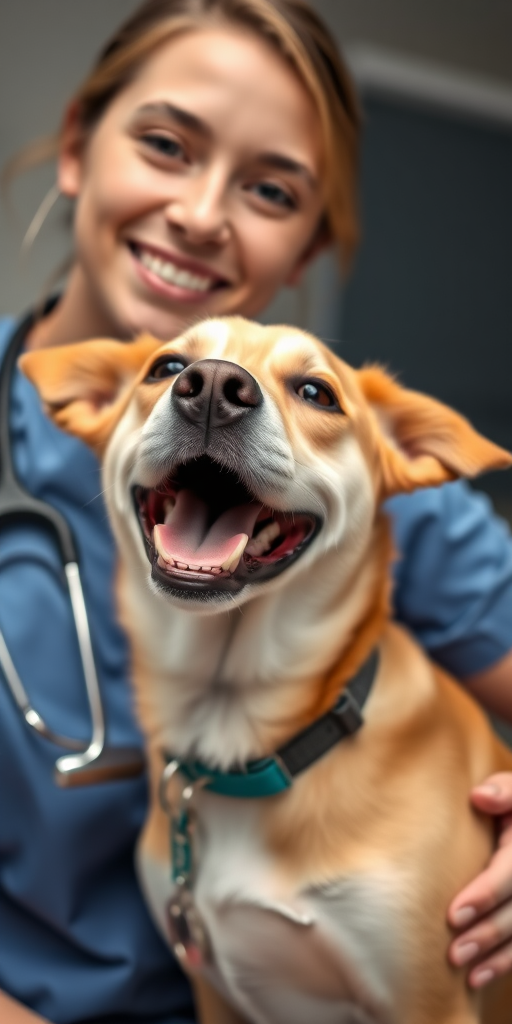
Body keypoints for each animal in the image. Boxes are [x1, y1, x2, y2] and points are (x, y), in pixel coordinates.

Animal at [22, 317, 512, 1024]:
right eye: (167, 366)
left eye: (316, 392)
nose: (212, 388)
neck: (233, 728)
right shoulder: (211, 987)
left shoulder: (433, 1002)